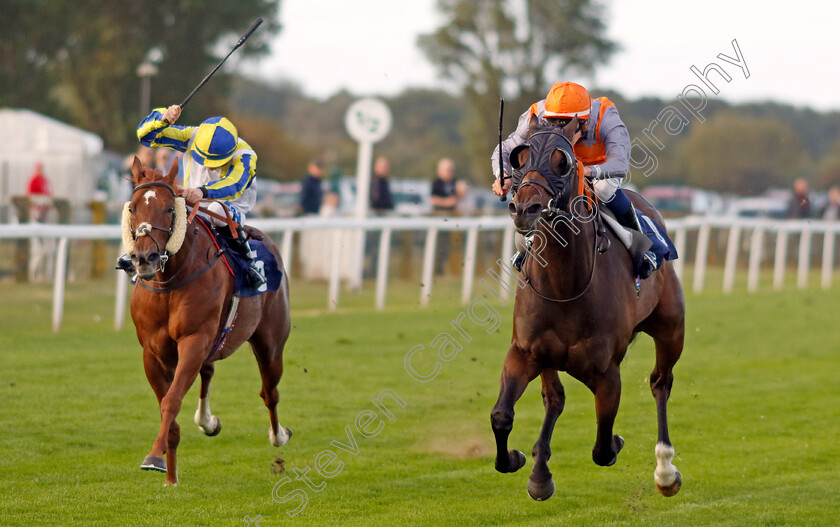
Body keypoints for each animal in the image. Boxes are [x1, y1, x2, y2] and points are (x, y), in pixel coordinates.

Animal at [124, 158, 292, 486]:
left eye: (169, 209)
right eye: (133, 208)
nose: (144, 258)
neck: (170, 280)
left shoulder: (194, 339)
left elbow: (172, 400)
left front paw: (154, 456)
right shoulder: (152, 351)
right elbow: (168, 408)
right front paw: (170, 477)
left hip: (271, 343)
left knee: (270, 391)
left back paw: (279, 435)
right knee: (209, 370)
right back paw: (207, 421)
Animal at [492, 117, 684, 502]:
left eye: (562, 161)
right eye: (520, 157)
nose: (524, 209)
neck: (566, 286)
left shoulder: (608, 373)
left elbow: (603, 447)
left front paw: (619, 441)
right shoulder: (524, 352)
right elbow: (502, 415)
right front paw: (519, 460)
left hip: (672, 329)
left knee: (661, 382)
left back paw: (665, 470)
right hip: (547, 357)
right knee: (554, 398)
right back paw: (540, 471)